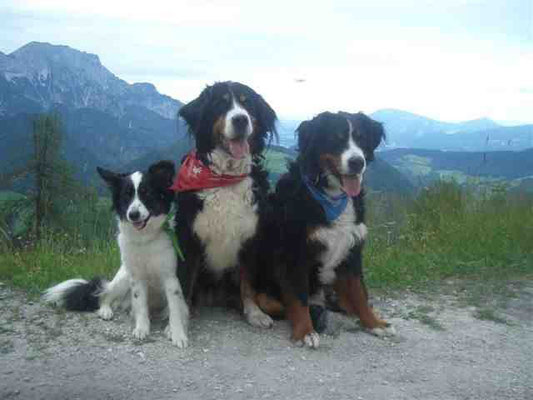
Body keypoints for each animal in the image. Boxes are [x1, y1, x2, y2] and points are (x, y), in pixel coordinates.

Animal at [43, 161, 189, 348]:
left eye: (147, 193)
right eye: (126, 196)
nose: (133, 215)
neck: (145, 239)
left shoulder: (170, 279)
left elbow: (175, 310)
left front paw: (177, 333)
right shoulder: (136, 278)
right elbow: (140, 305)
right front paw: (142, 328)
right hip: (123, 278)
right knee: (104, 295)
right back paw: (105, 310)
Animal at [172, 80, 276, 328]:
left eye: (247, 104)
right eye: (221, 104)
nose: (241, 120)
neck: (226, 177)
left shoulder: (251, 238)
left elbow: (248, 282)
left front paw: (254, 312)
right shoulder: (189, 237)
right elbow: (185, 280)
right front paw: (181, 317)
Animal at [252, 111, 394, 348]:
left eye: (361, 138)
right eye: (336, 139)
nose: (357, 162)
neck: (331, 197)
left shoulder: (352, 251)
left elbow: (360, 294)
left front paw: (374, 323)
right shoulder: (295, 253)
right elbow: (298, 298)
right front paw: (304, 331)